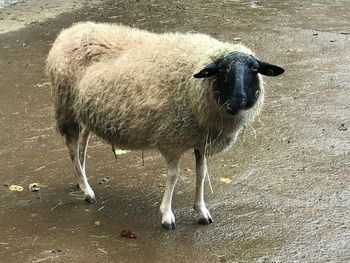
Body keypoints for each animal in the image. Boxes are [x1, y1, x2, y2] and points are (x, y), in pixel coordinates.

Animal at [45, 21, 284, 230]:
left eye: (254, 69)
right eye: (222, 70)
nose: (238, 101)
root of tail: (71, 30)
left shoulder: (200, 139)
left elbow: (201, 173)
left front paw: (201, 211)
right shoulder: (172, 138)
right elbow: (173, 176)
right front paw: (167, 215)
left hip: (85, 109)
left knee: (83, 141)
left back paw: (81, 178)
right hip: (66, 107)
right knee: (72, 147)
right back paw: (86, 190)